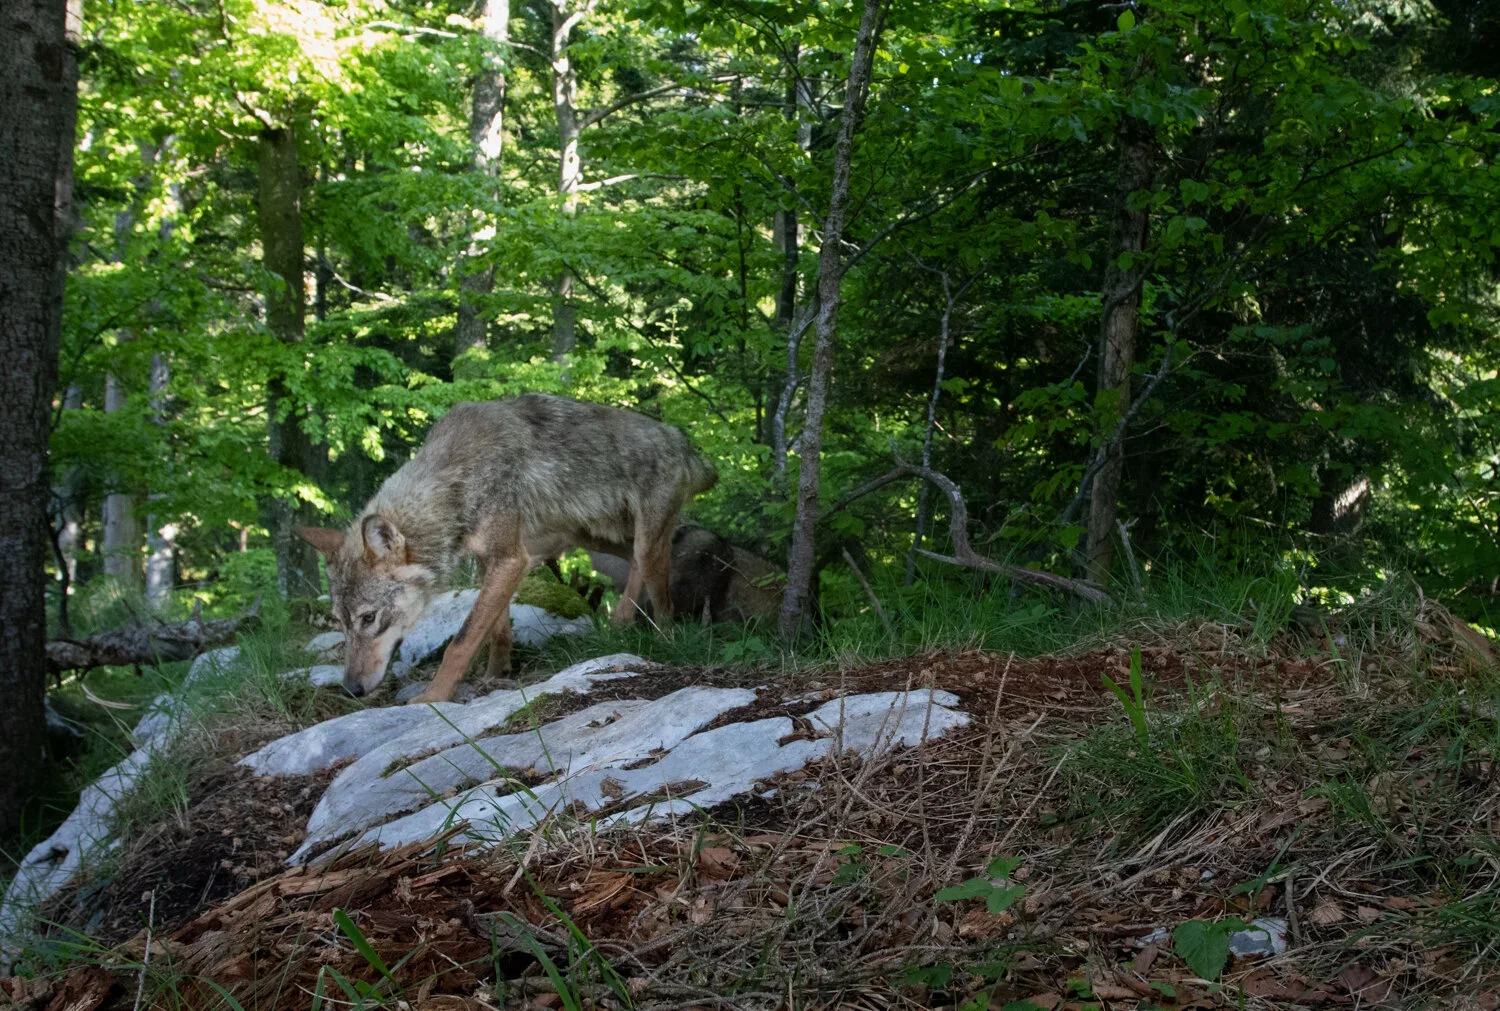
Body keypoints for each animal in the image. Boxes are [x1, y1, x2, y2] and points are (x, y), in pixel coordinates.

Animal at [295, 394, 717, 703]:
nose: (351, 690)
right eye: (339, 622)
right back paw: (620, 623)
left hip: (644, 542)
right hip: (586, 536)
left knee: (660, 593)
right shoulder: (494, 561)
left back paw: (665, 640)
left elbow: (461, 642)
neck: (455, 482)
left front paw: (433, 697)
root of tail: (685, 442)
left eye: (368, 618)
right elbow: (496, 630)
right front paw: (496, 675)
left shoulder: (512, 559)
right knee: (632, 564)